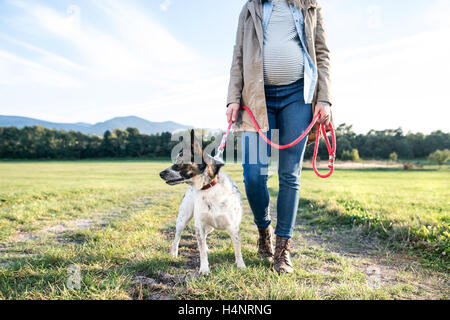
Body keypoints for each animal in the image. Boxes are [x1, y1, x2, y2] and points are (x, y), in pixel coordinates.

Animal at [160, 130, 246, 276]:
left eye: (178, 164)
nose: (160, 173)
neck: (209, 187)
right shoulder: (199, 225)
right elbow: (201, 251)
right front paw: (204, 269)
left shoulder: (233, 227)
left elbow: (237, 249)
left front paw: (241, 266)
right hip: (183, 219)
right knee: (177, 236)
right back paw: (174, 252)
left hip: (210, 227)